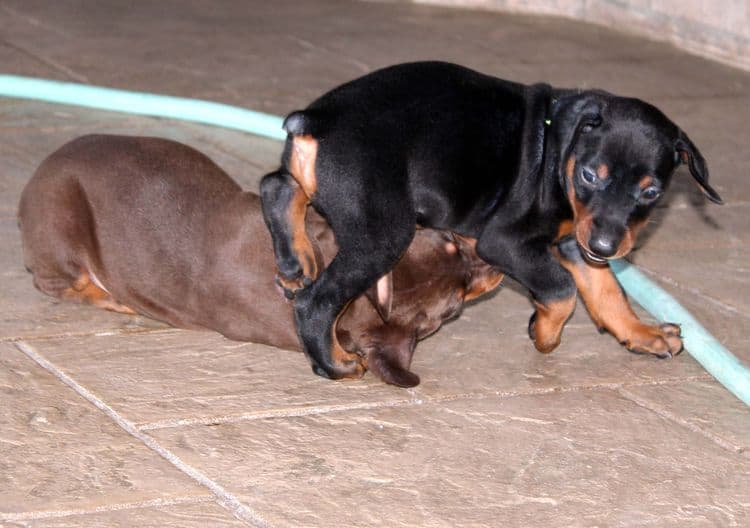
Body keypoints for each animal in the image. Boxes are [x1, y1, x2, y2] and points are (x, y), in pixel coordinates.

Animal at [17, 134, 506, 386]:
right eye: (454, 307)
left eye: (453, 242)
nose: (494, 261)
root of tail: (36, 178)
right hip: (62, 231)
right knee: (55, 282)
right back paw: (108, 297)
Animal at [262, 60, 724, 380]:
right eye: (591, 175)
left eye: (651, 192)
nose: (608, 247)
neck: (558, 152)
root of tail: (317, 119)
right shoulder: (504, 242)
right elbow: (562, 289)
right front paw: (545, 333)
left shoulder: (576, 239)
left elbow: (606, 289)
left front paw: (641, 334)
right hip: (383, 233)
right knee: (317, 302)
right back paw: (333, 363)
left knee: (277, 186)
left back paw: (295, 262)